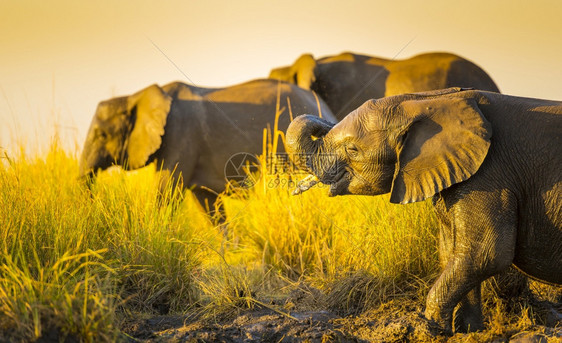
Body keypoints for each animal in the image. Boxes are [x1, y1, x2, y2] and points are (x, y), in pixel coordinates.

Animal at [286, 88, 556, 334]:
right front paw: (466, 332)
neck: (427, 100)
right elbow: (453, 253)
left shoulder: (491, 175)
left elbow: (486, 254)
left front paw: (431, 330)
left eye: (353, 150)